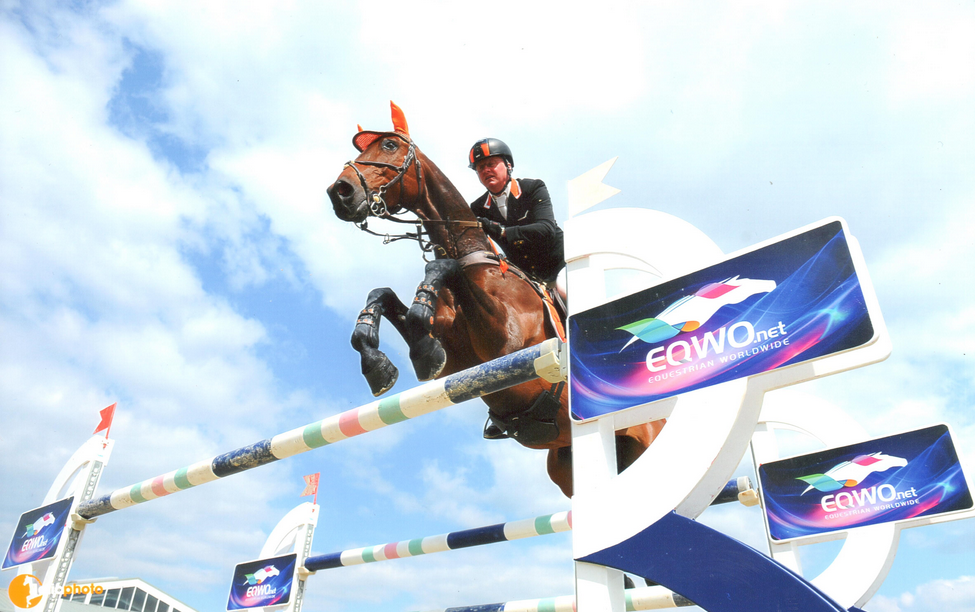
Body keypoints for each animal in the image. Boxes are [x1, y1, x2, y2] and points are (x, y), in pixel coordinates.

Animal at [328, 104, 664, 498]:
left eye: (390, 146)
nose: (340, 192)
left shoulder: (504, 340)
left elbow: (443, 268)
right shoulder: (458, 362)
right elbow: (383, 296)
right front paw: (377, 363)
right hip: (568, 466)